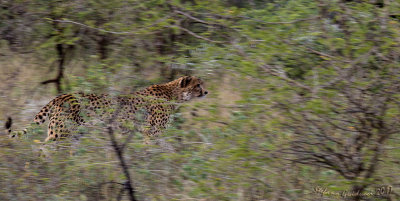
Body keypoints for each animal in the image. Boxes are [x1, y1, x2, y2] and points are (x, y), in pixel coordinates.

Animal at [4, 76, 208, 143]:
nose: (206, 91)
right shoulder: (152, 132)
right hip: (60, 132)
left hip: (76, 134)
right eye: (198, 85)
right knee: (44, 148)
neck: (174, 94)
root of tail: (60, 95)